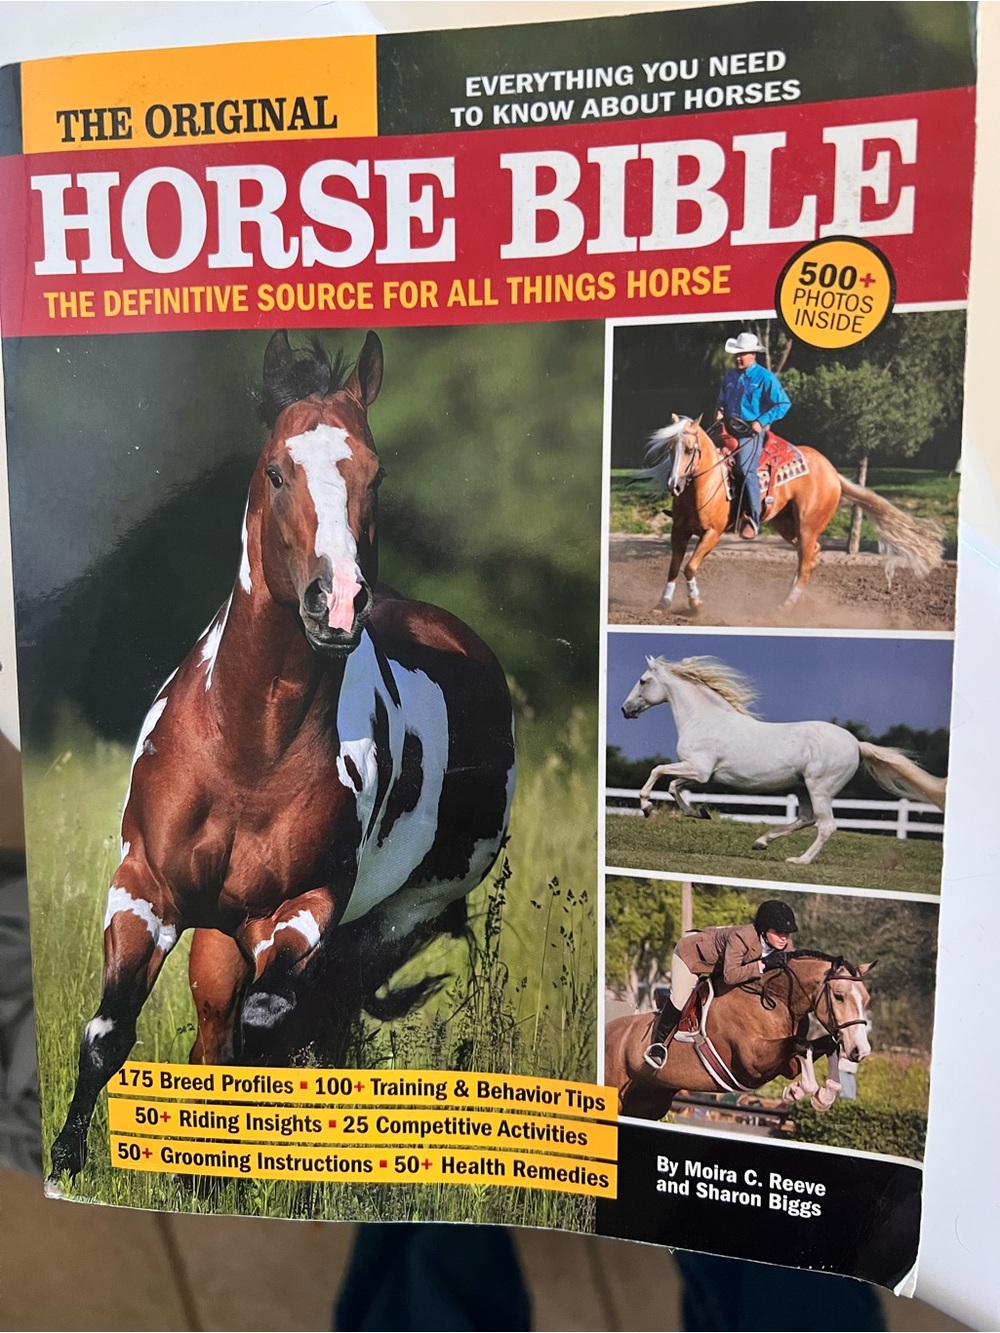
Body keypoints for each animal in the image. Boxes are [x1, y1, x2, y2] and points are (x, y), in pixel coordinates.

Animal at [46, 330, 516, 1189]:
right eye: (274, 469)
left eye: (375, 472)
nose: (338, 602)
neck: (247, 753)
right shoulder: (143, 888)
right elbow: (109, 1031)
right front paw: (67, 1163)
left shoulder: (302, 909)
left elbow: (268, 1024)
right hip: (217, 935)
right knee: (219, 1028)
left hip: (392, 915)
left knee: (309, 1019)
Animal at [605, 952, 873, 1121]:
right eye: (839, 996)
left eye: (867, 999)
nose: (861, 1051)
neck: (774, 999)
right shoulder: (752, 1062)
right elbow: (802, 1045)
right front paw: (797, 1092)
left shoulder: (783, 1064)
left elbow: (825, 1044)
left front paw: (823, 1095)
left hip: (648, 1102)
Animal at [621, 655, 945, 865]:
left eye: (643, 680)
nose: (625, 710)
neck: (705, 719)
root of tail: (856, 743)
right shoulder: (701, 775)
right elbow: (673, 786)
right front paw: (698, 813)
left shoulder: (699, 771)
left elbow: (658, 773)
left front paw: (648, 807)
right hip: (803, 788)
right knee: (807, 818)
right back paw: (761, 842)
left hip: (819, 787)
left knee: (825, 825)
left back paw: (799, 860)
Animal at [643, 415, 943, 613]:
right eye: (669, 449)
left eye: (689, 449)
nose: (674, 485)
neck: (705, 485)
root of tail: (832, 472)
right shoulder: (679, 531)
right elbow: (673, 567)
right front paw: (662, 603)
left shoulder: (712, 533)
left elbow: (690, 567)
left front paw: (695, 603)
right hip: (788, 526)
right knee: (810, 556)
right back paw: (789, 593)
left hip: (807, 525)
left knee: (807, 561)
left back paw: (787, 603)